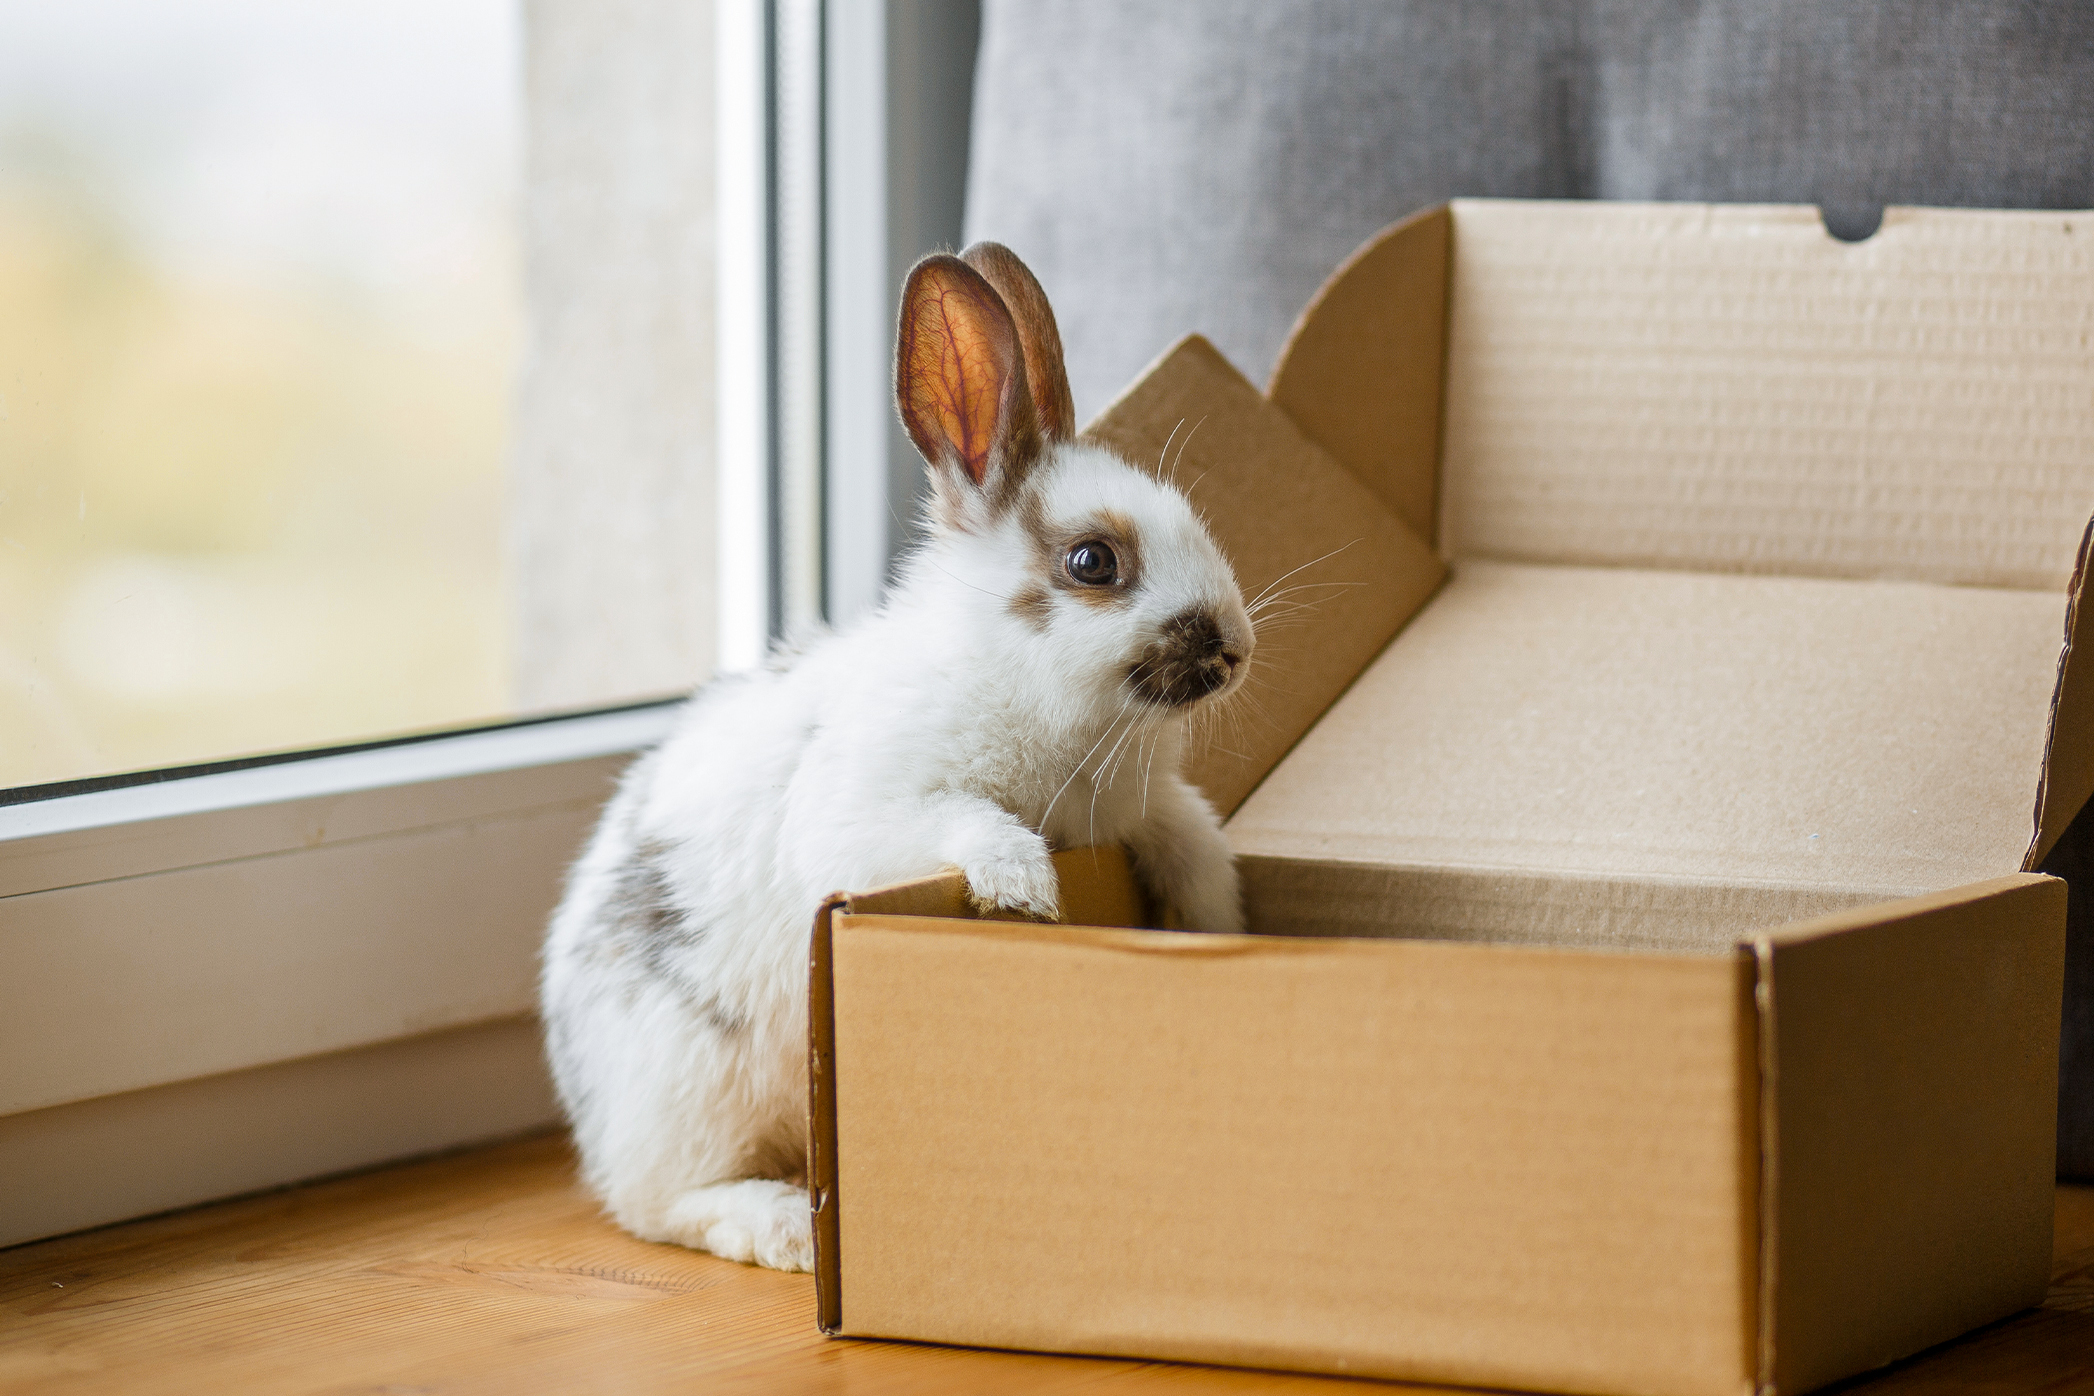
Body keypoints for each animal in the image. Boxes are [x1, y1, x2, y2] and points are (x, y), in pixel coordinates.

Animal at [540, 241, 1255, 1272]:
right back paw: (787, 1228)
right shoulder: (865, 817)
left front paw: (1213, 920)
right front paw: (1025, 889)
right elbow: (964, 819)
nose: (1235, 648)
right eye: (1093, 563)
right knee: (663, 1206)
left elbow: (1195, 843)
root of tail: (584, 1105)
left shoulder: (1149, 809)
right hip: (693, 1095)